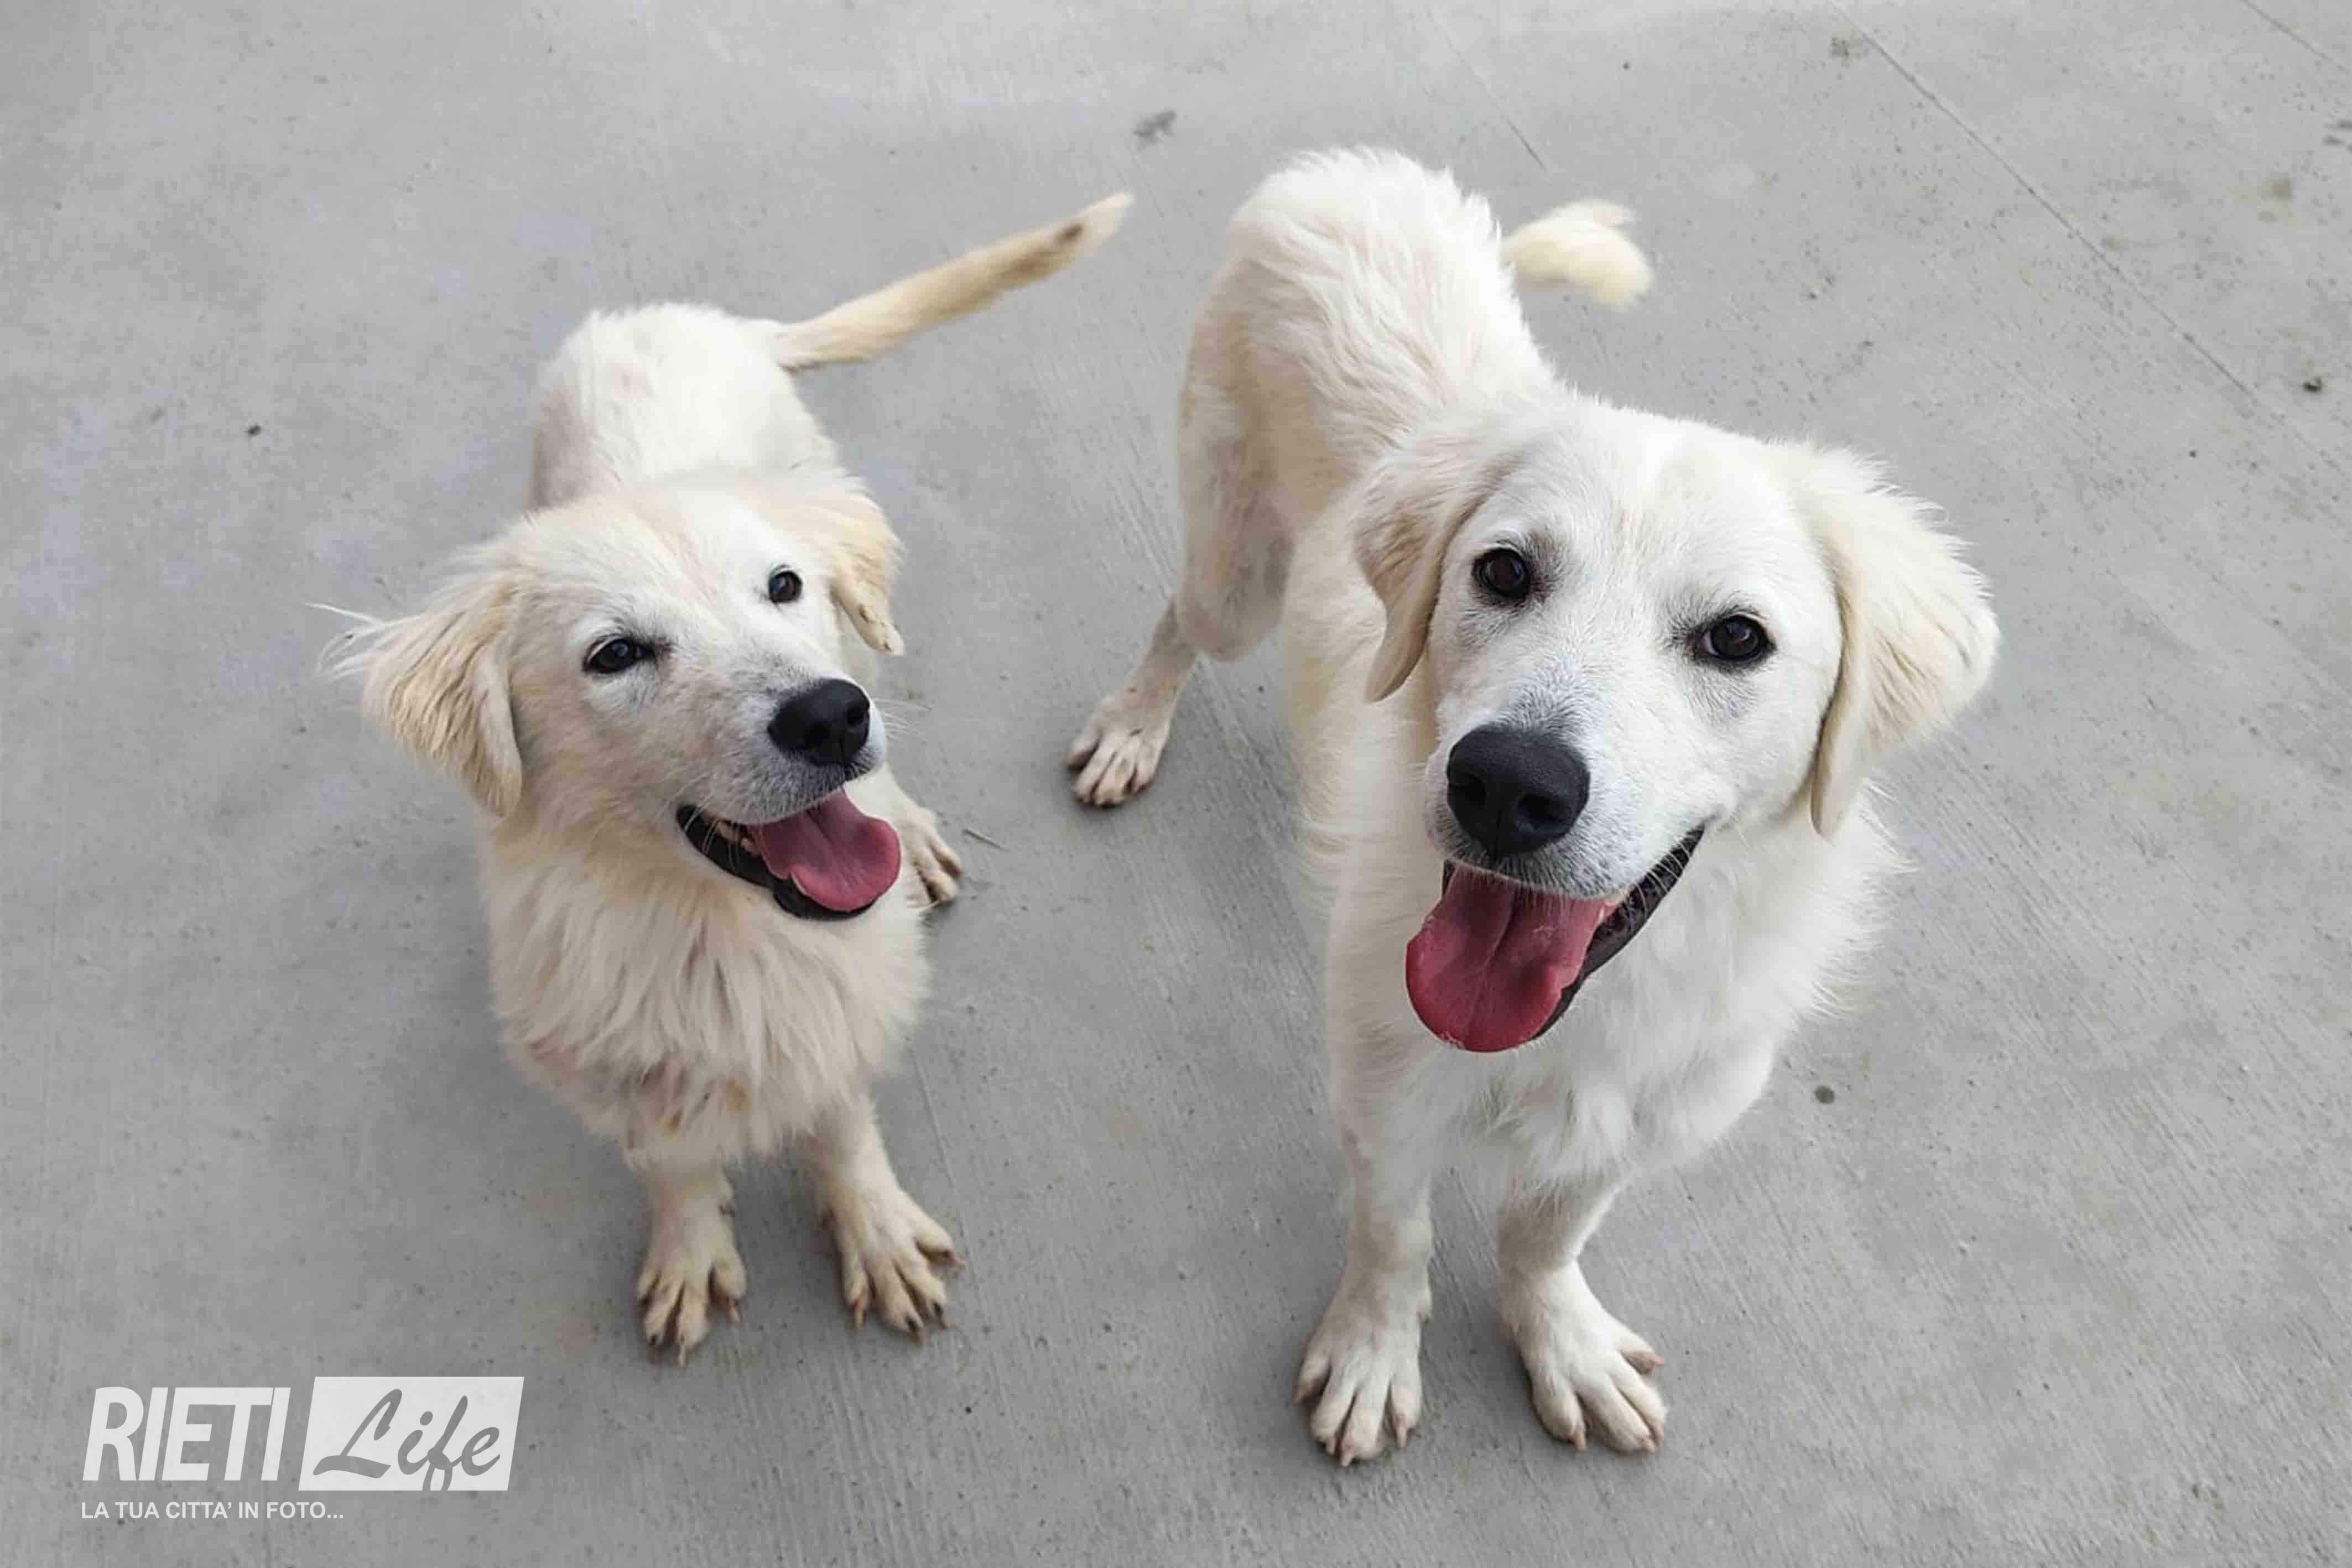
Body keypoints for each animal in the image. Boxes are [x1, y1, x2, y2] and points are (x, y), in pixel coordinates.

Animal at [345, 191, 1129, 1360]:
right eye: (615, 654)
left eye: (782, 586)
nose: (829, 720)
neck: (715, 933)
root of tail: (693, 317)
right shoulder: (612, 1062)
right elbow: (672, 1163)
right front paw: (689, 1251)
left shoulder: (842, 1006)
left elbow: (841, 1123)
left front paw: (874, 1233)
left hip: (857, 625)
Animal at [1068, 150, 1995, 1462]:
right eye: (1502, 571)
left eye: (1736, 639)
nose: (1506, 785)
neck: (1576, 1014)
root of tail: (1354, 173)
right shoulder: (1382, 1085)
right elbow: (1393, 1232)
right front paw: (1372, 1352)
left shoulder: (1639, 1114)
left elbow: (1545, 1234)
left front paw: (1560, 1338)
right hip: (1234, 574)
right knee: (1176, 618)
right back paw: (1131, 726)